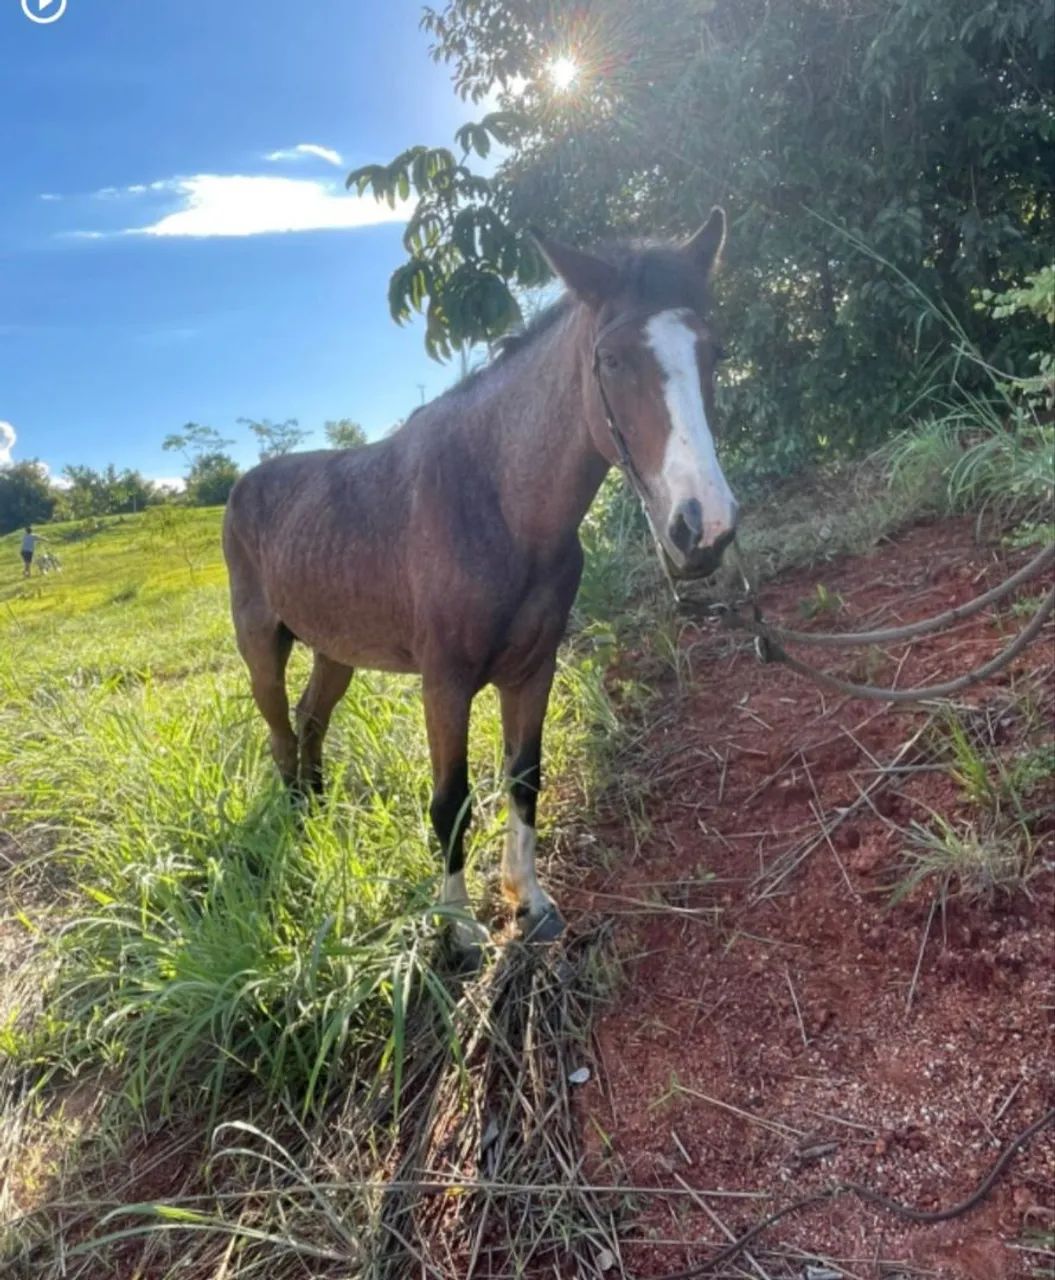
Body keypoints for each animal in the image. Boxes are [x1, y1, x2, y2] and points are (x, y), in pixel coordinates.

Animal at [222, 209, 739, 948]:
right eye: (611, 360)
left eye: (714, 352)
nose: (704, 527)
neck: (497, 505)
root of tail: (242, 487)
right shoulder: (445, 682)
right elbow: (451, 800)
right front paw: (458, 929)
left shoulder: (533, 670)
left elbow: (524, 779)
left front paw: (530, 900)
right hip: (261, 647)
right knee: (279, 732)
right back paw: (300, 820)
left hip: (334, 651)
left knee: (310, 720)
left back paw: (320, 816)